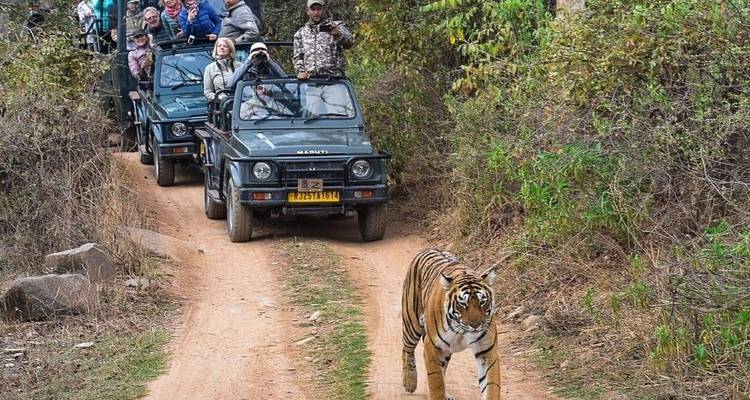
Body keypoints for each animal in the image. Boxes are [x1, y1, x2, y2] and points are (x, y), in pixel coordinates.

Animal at [401, 248, 511, 400]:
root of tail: (429, 248)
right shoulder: (433, 347)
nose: (476, 325)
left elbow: (491, 385)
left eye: (482, 302)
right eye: (462, 304)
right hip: (412, 324)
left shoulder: (486, 352)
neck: (462, 331)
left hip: (446, 350)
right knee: (406, 350)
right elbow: (436, 383)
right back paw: (409, 382)